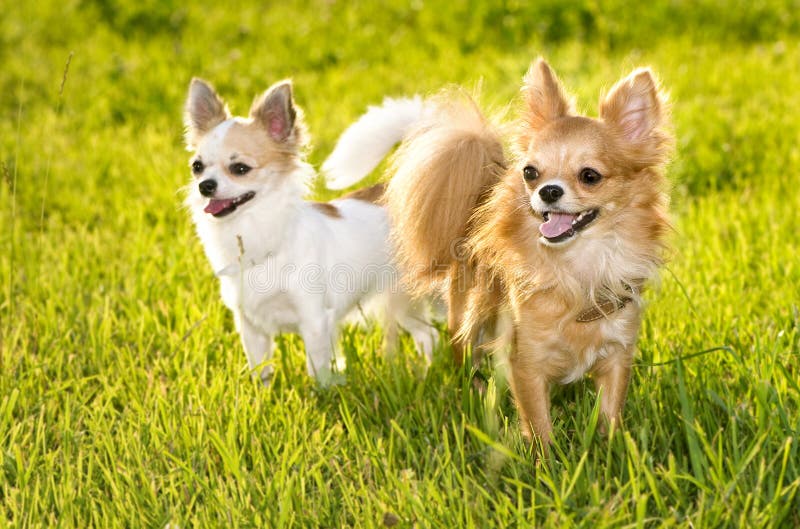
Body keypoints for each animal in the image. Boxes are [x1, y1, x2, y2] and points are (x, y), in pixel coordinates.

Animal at [183, 78, 438, 382]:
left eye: (240, 168)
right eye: (197, 167)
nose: (205, 185)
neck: (253, 230)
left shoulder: (314, 320)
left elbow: (317, 368)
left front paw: (324, 391)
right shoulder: (251, 327)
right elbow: (260, 369)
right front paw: (261, 392)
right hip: (403, 302)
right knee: (427, 333)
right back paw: (426, 370)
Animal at [322, 58, 672, 442]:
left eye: (590, 176)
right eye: (531, 173)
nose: (548, 190)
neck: (579, 266)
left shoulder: (617, 353)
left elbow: (610, 413)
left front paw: (612, 448)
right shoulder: (527, 361)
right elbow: (538, 424)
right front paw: (546, 457)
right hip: (466, 318)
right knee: (466, 360)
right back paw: (475, 399)